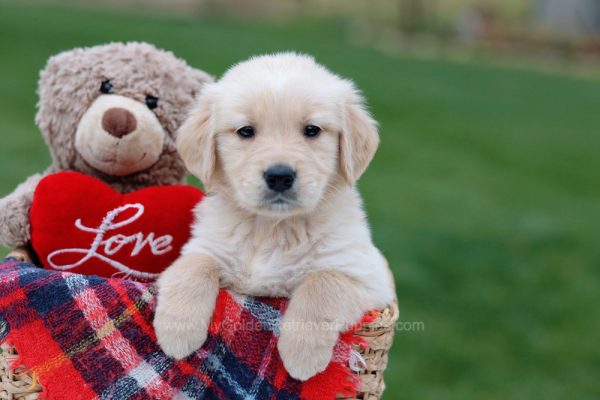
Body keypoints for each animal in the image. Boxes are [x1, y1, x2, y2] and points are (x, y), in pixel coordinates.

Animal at [154, 53, 394, 382]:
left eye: (312, 130)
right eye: (245, 131)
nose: (280, 176)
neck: (272, 227)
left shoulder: (369, 276)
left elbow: (323, 282)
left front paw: (301, 354)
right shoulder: (206, 247)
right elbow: (193, 266)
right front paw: (177, 333)